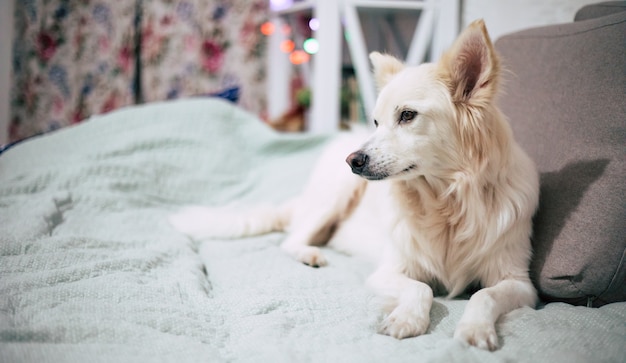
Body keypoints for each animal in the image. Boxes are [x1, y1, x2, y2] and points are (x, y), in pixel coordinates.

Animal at [169, 20, 536, 352]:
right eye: (375, 121)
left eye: (407, 115)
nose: (353, 160)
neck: (446, 201)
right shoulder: (389, 271)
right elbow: (423, 289)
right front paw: (407, 319)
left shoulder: (520, 283)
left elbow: (483, 295)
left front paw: (474, 330)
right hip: (333, 196)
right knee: (291, 239)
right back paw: (310, 254)